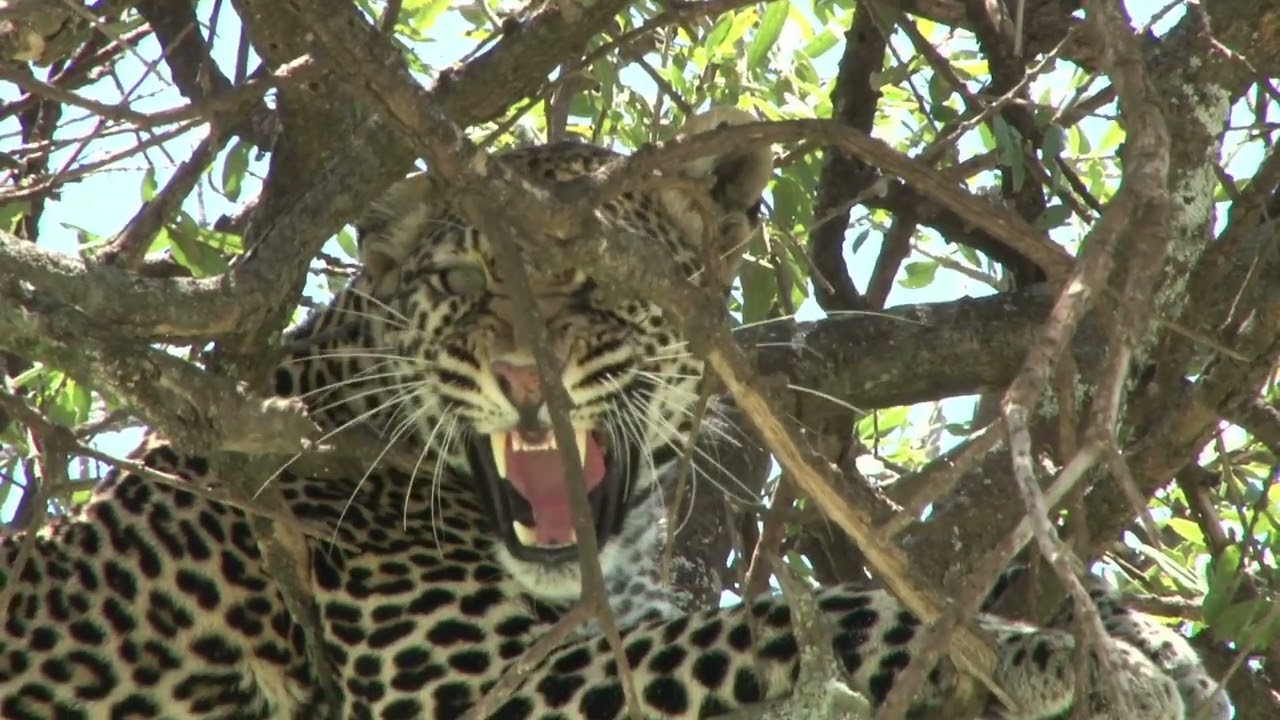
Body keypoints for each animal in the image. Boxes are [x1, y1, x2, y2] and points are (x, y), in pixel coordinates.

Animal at [0, 107, 1231, 720]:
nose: (522, 377)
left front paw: (1130, 633)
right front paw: (1049, 655)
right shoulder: (458, 684)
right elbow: (786, 617)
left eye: (595, 284)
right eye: (462, 281)